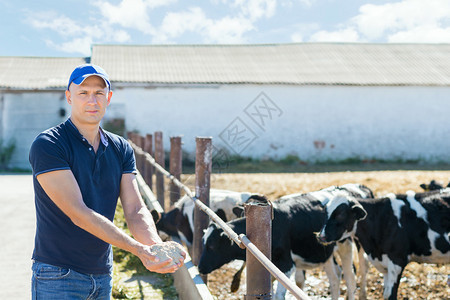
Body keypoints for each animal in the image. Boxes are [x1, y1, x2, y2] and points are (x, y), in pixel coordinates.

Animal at [199, 184, 374, 298]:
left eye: (212, 246)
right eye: (203, 242)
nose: (200, 267)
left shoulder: (286, 264)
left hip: (346, 244)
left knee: (351, 278)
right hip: (327, 254)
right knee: (335, 279)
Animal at [316, 189, 450, 298]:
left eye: (340, 215)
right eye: (325, 213)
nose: (321, 236)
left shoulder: (397, 261)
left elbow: (390, 295)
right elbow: (385, 294)